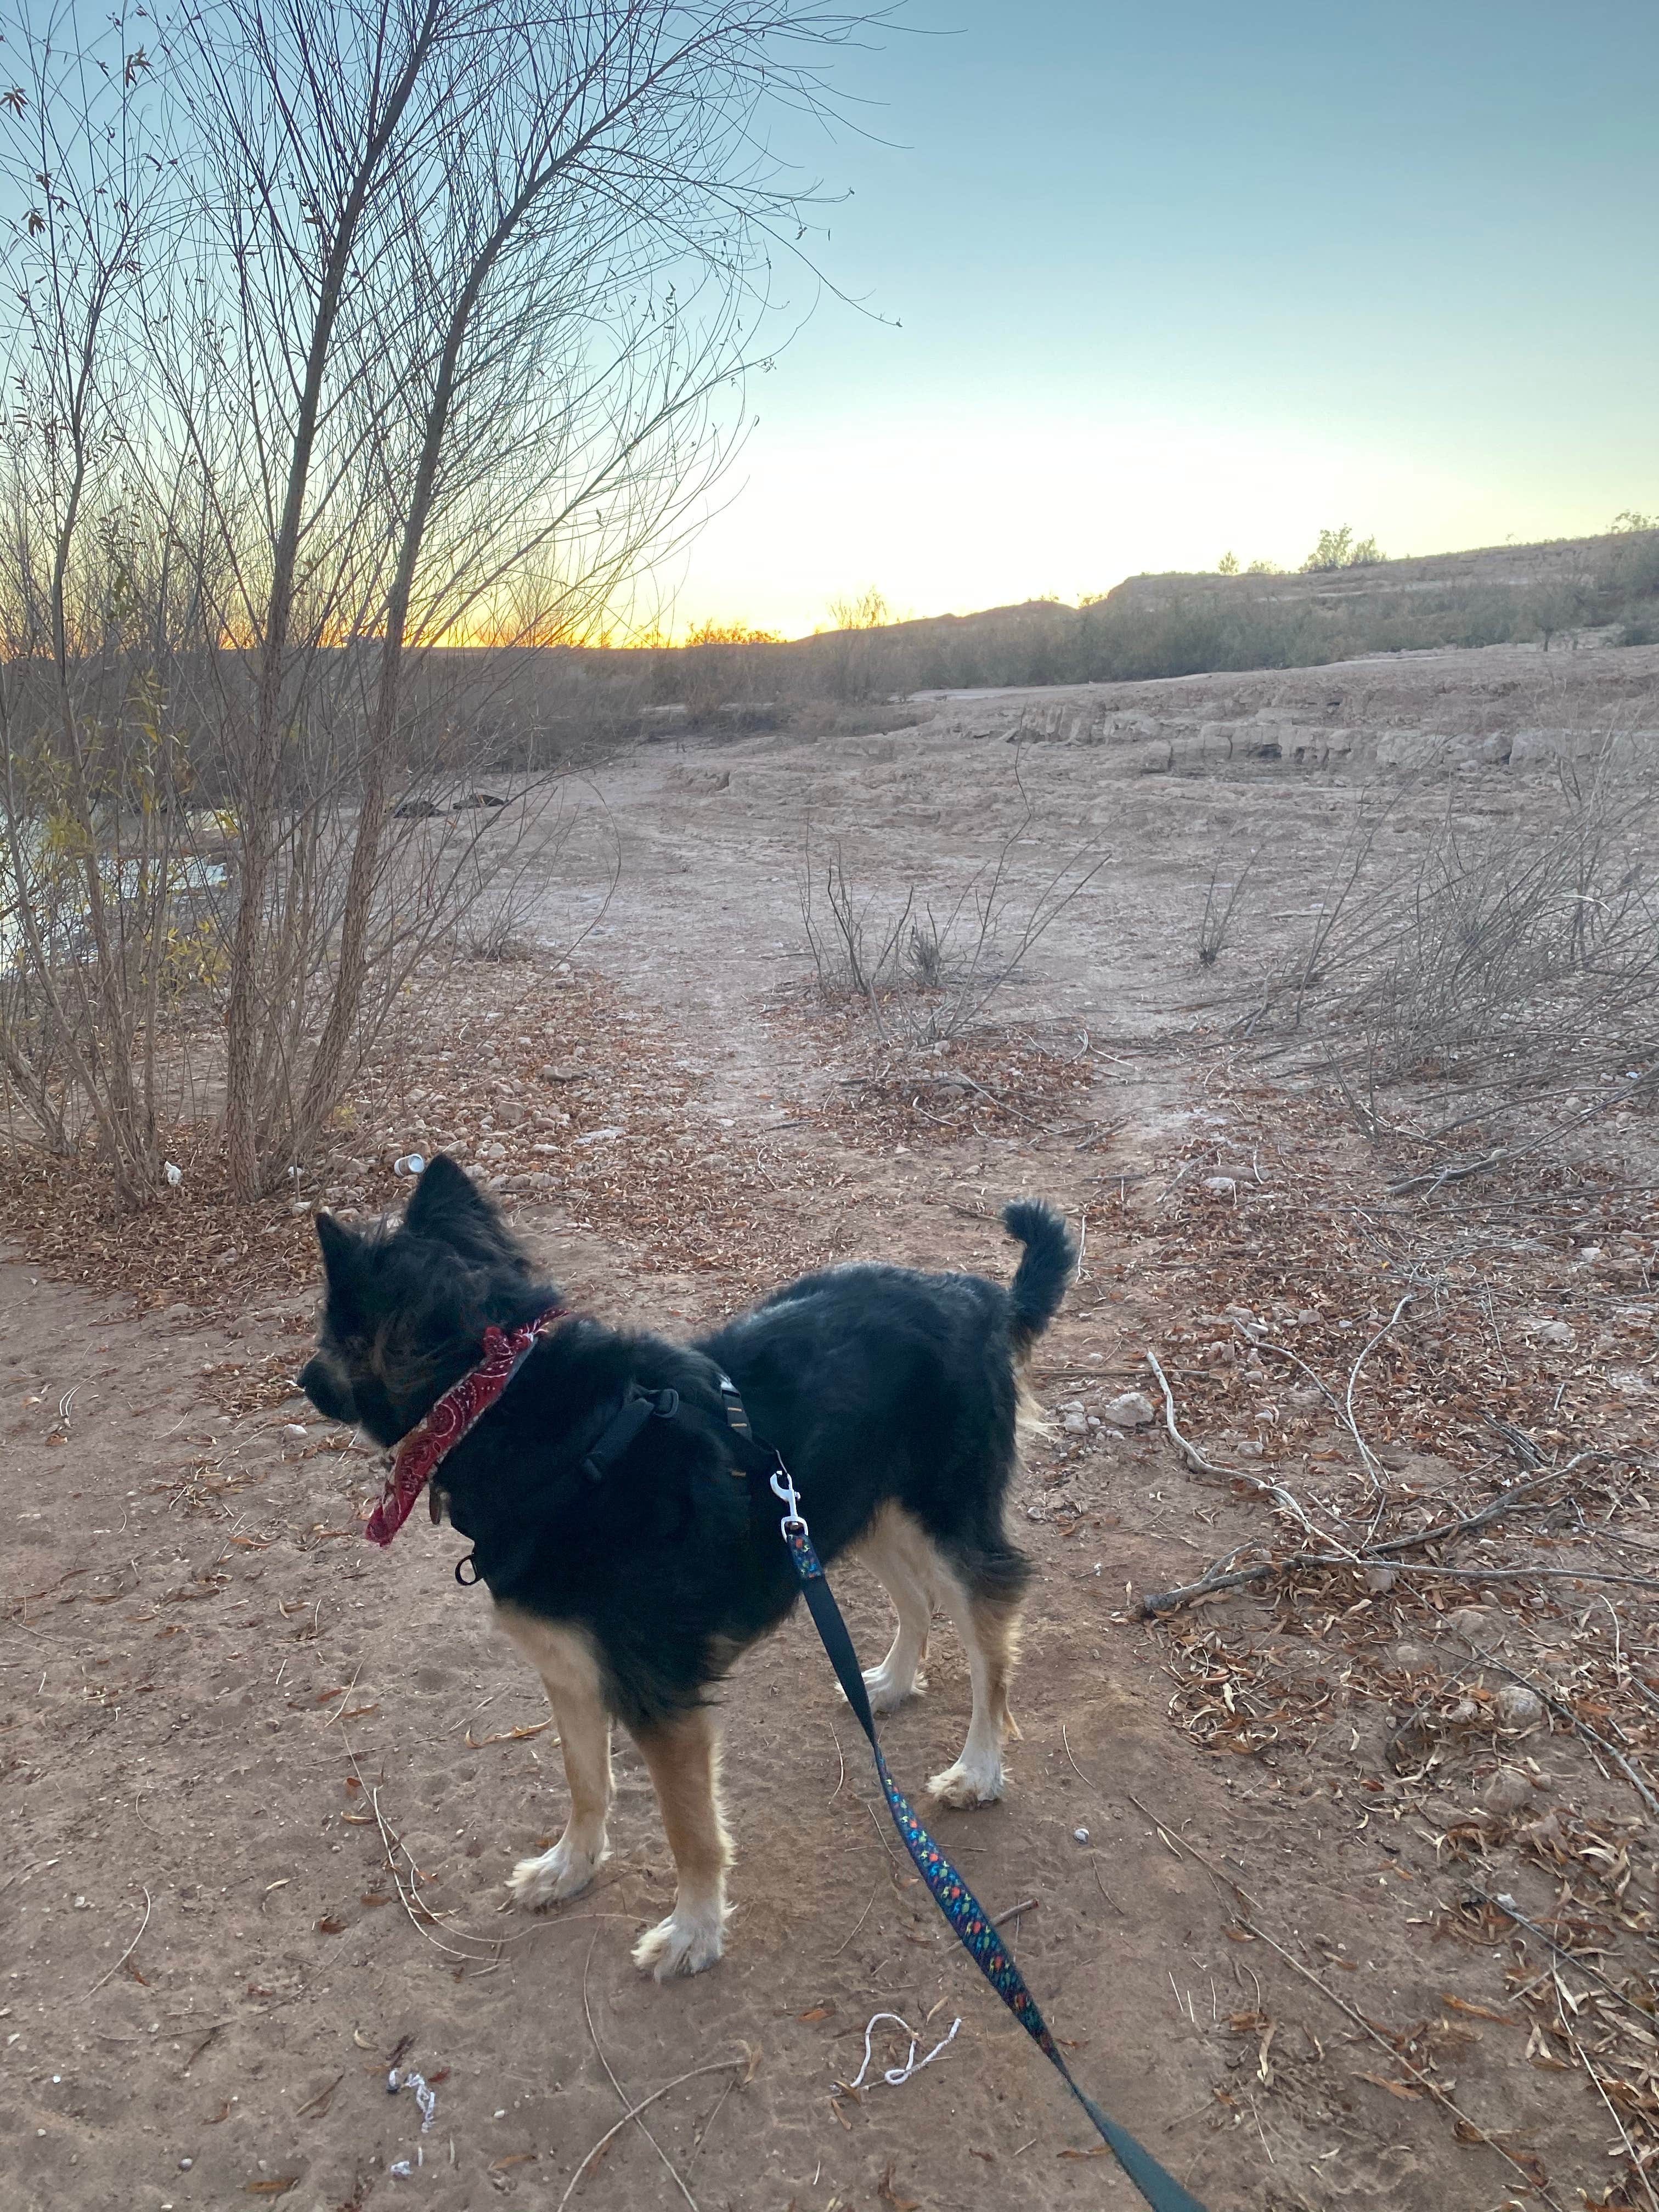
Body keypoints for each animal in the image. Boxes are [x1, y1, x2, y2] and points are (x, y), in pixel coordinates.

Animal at [298, 1167, 1079, 1982]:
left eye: (329, 1333)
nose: (301, 1379)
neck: (503, 1406)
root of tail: (976, 1297)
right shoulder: (569, 1671)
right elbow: (586, 1783)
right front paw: (569, 1868)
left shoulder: (662, 1703)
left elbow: (690, 1831)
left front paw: (693, 1931)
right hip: (839, 1511)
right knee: (914, 1598)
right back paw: (890, 1686)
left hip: (942, 1524)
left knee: (992, 1635)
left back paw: (980, 1769)